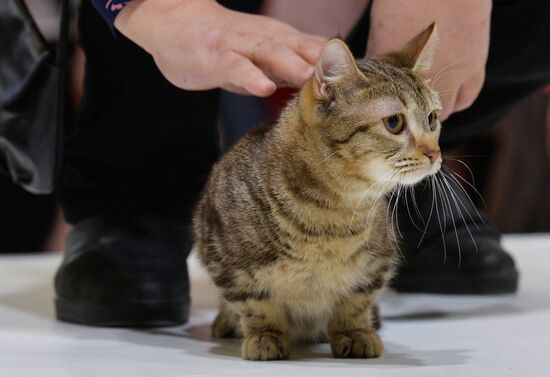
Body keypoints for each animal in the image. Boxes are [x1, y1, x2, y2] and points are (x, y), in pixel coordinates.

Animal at [194, 22, 444, 358]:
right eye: (394, 122)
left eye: (432, 119)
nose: (435, 153)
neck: (332, 214)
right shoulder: (225, 257)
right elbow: (257, 305)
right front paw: (266, 336)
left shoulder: (378, 261)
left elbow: (355, 300)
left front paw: (355, 332)